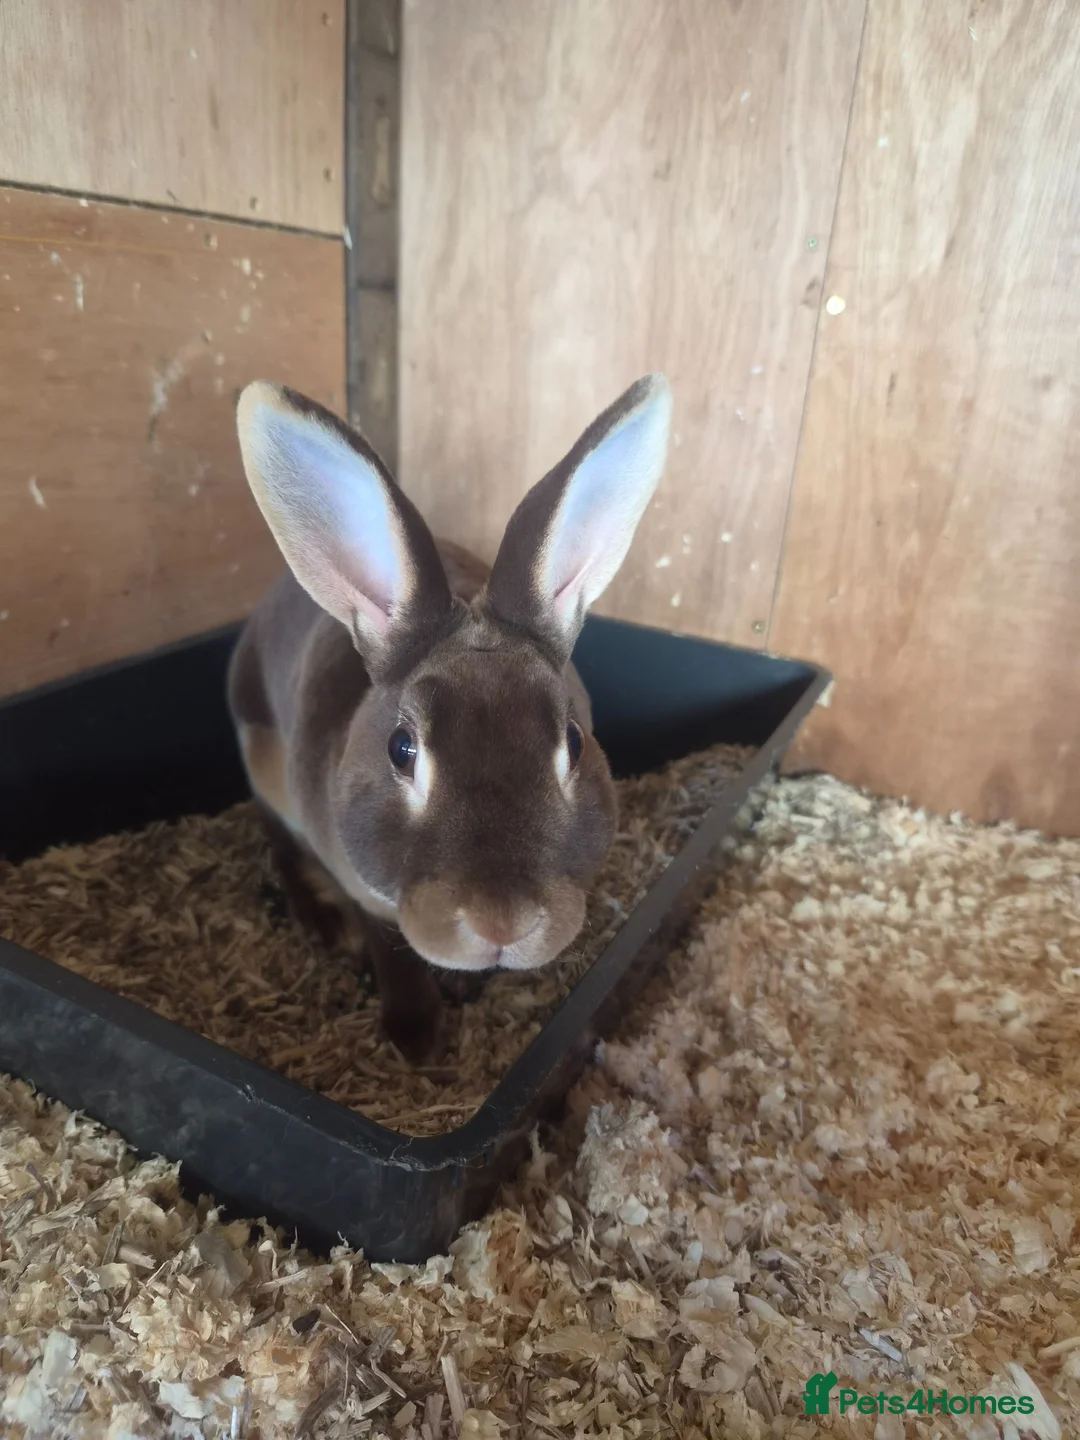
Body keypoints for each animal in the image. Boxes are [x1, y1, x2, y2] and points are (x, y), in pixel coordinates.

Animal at [227, 373, 672, 1062]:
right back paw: (323, 926)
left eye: (574, 742)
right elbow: (391, 950)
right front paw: (417, 1039)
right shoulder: (369, 895)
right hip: (264, 768)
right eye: (401, 749)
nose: (501, 922)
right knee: (278, 843)